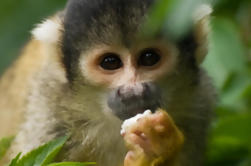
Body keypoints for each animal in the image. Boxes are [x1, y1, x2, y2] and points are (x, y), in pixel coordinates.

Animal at [0, 0, 216, 165]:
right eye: (110, 62)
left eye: (149, 58)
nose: (133, 91)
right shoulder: (49, 113)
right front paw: (152, 153)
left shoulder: (198, 104)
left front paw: (159, 149)